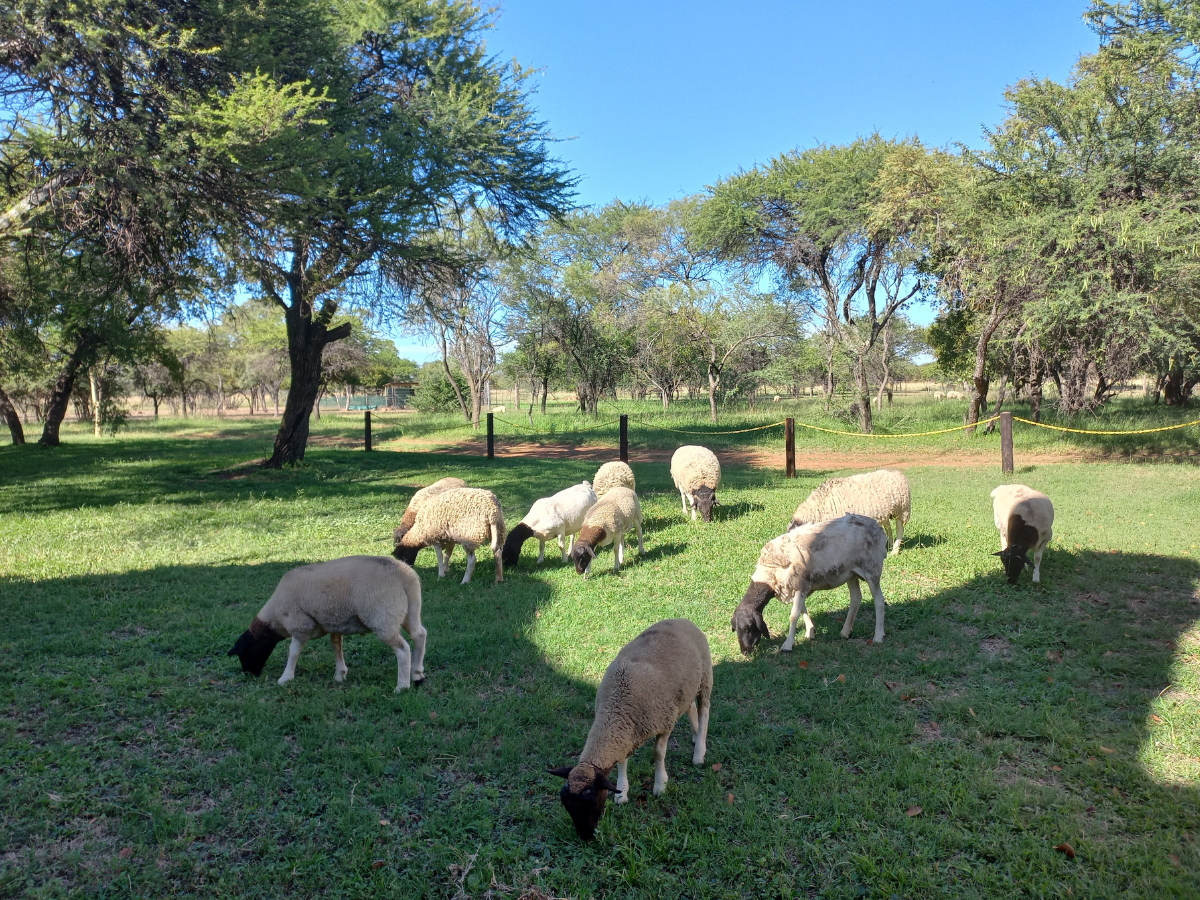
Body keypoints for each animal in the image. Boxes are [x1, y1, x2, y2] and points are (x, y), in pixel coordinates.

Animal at [227, 555, 426, 692]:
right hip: (410, 610)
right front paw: (340, 674)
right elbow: (336, 646)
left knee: (403, 649)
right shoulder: (334, 623)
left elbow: (293, 652)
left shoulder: (300, 624)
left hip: (383, 616)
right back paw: (417, 674)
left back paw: (402, 686)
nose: (249, 674)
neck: (275, 616)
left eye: (244, 653)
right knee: (420, 635)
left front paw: (285, 678)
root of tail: (405, 575)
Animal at [548, 618, 712, 841]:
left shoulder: (665, 722)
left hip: (705, 677)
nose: (586, 837)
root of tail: (681, 620)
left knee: (704, 710)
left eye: (591, 803)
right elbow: (622, 761)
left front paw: (660, 785)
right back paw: (695, 737)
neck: (616, 707)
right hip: (686, 688)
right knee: (690, 708)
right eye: (567, 806)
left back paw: (699, 752)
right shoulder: (625, 732)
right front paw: (622, 792)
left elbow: (658, 753)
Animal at [732, 514, 888, 654]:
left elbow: (794, 615)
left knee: (879, 601)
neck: (769, 574)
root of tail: (877, 526)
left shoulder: (799, 584)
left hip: (871, 568)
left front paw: (788, 645)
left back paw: (878, 636)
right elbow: (802, 609)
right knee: (856, 598)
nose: (745, 651)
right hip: (851, 573)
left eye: (749, 627)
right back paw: (845, 632)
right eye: (735, 628)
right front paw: (810, 631)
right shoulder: (799, 586)